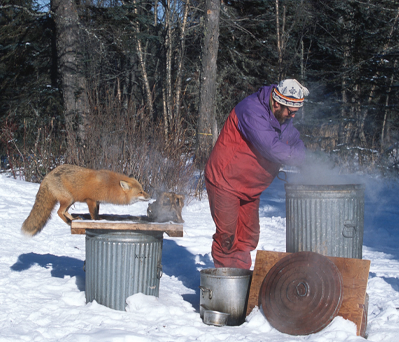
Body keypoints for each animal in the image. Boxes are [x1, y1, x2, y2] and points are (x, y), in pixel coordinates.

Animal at [21, 165, 151, 235]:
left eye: (143, 190)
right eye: (140, 192)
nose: (149, 197)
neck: (109, 185)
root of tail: (47, 176)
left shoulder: (97, 201)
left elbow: (97, 212)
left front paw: (100, 220)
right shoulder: (91, 200)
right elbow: (93, 214)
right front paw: (97, 222)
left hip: (72, 200)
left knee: (64, 212)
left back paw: (74, 219)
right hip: (69, 199)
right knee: (59, 212)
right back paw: (69, 222)